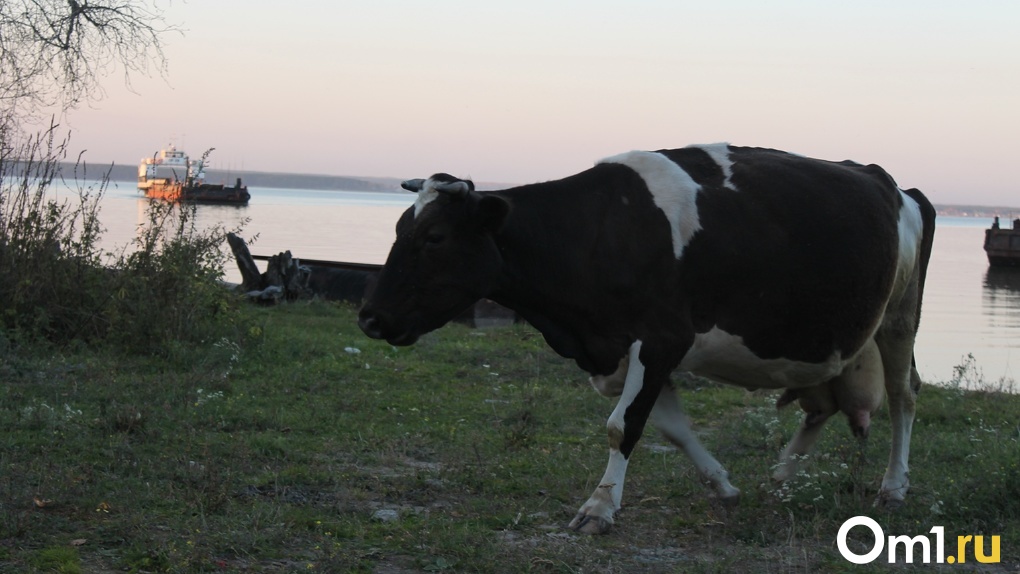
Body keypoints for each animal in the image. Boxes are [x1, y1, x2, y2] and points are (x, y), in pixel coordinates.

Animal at [363, 143, 934, 534]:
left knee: (904, 396)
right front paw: (723, 485)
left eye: (434, 238)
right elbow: (671, 428)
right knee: (823, 405)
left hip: (899, 317)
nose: (369, 317)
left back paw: (893, 488)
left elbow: (623, 426)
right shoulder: (623, 351)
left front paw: (598, 508)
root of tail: (896, 185)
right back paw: (782, 474)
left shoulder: (662, 337)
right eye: (397, 231)